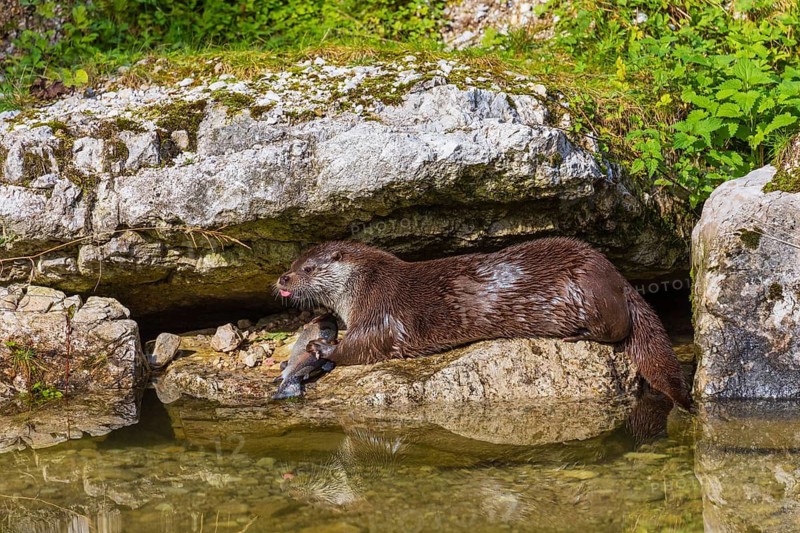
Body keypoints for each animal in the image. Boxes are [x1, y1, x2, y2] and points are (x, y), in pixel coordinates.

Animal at [275, 238, 693, 410]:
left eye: (307, 269)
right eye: (292, 264)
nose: (282, 278)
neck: (363, 285)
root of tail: (618, 278)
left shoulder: (381, 312)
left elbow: (364, 346)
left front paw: (322, 347)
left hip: (588, 292)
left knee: (615, 329)